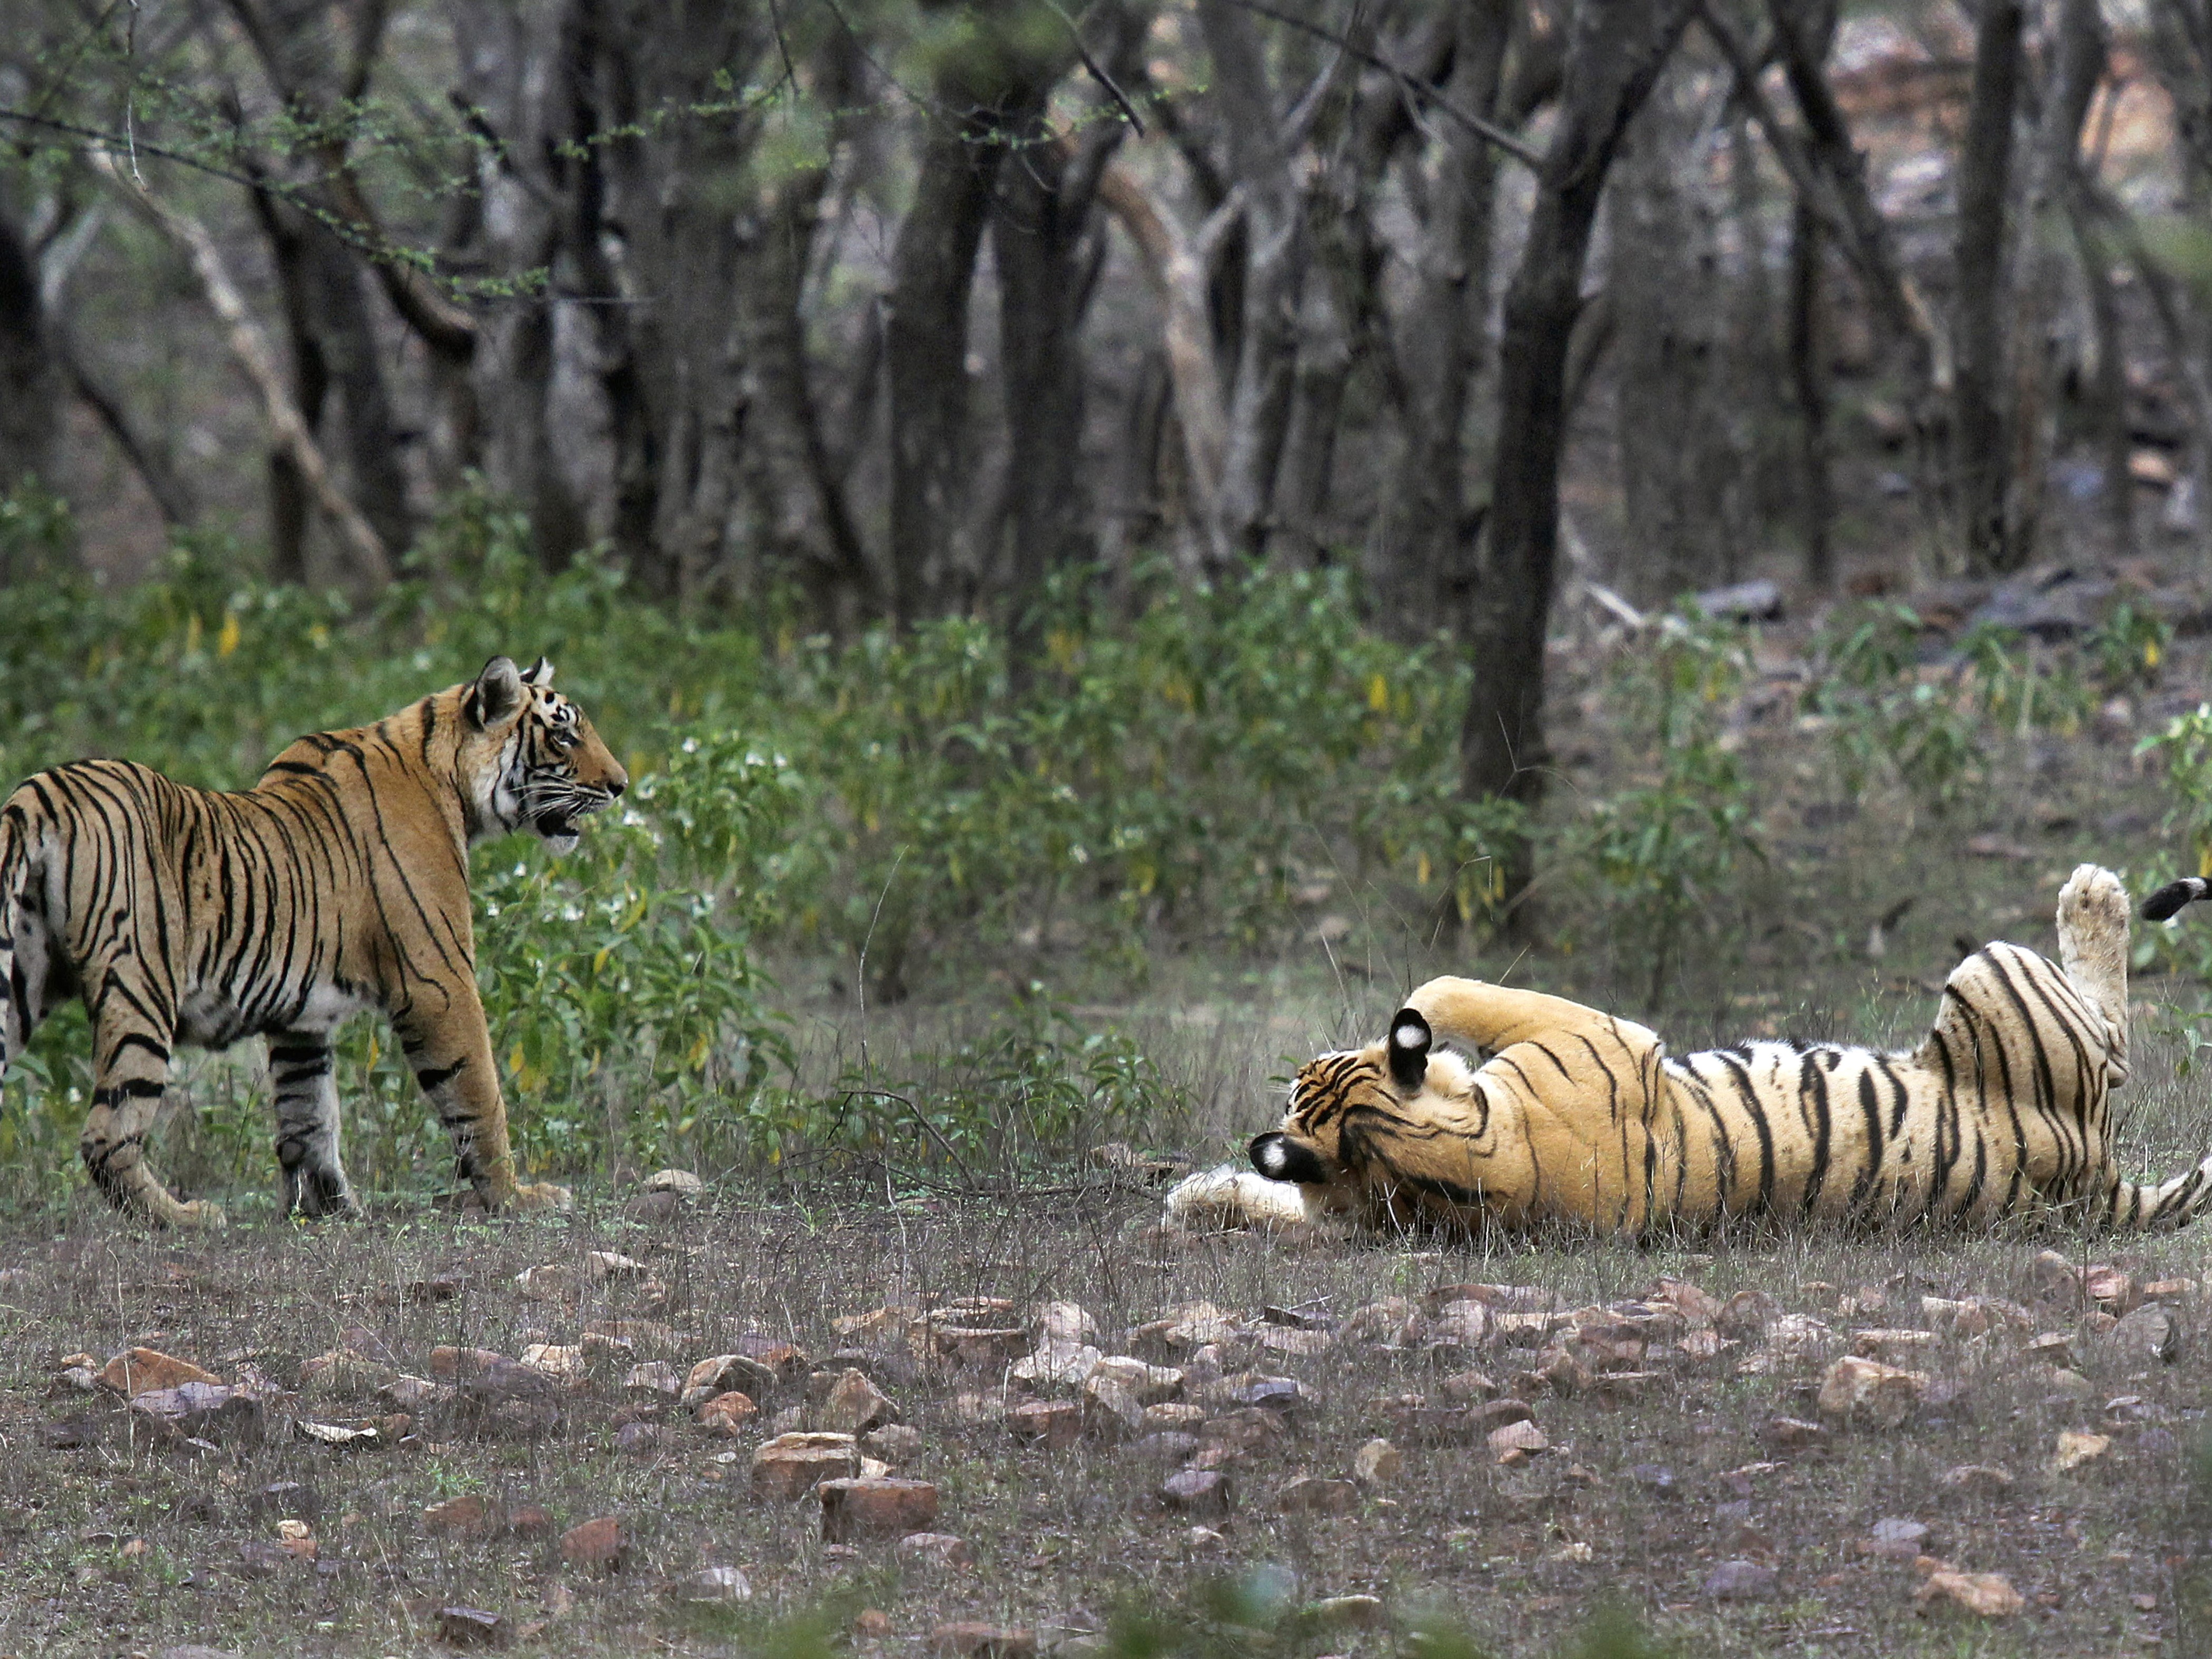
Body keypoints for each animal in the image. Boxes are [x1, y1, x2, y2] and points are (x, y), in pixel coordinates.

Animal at [0, 655, 626, 1227]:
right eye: (564, 734)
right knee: (107, 1132)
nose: (619, 785)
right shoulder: (439, 981)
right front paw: (517, 1198)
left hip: (21, 983)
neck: (449, 777)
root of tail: (40, 792)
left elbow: (309, 1114)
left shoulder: (300, 1019)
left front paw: (327, 1209)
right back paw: (184, 1216)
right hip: (140, 987)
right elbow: (479, 1095)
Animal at [1168, 865, 2212, 1237]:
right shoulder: (1598, 1031)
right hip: (1994, 972)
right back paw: (2095, 891)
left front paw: (1198, 1194)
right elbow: (1440, 994)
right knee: (2114, 1037)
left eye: (1306, 1079)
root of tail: (2091, 1182)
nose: (1309, 1052)